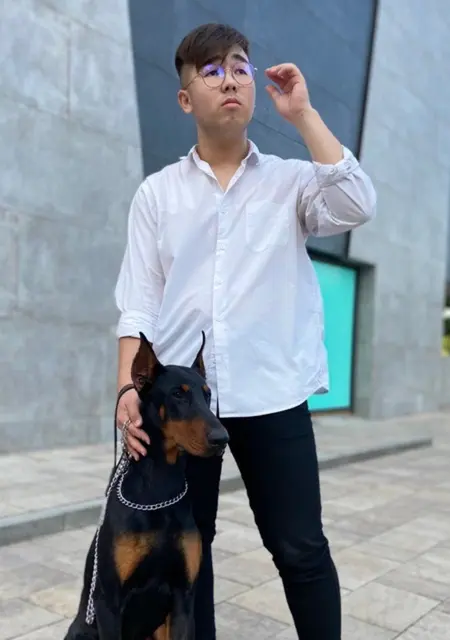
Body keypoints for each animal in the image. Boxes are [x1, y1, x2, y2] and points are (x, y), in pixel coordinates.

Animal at [64, 331, 229, 640]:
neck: (160, 488)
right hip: (83, 629)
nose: (222, 438)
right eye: (178, 393)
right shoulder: (108, 601)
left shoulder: (183, 597)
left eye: (208, 394)